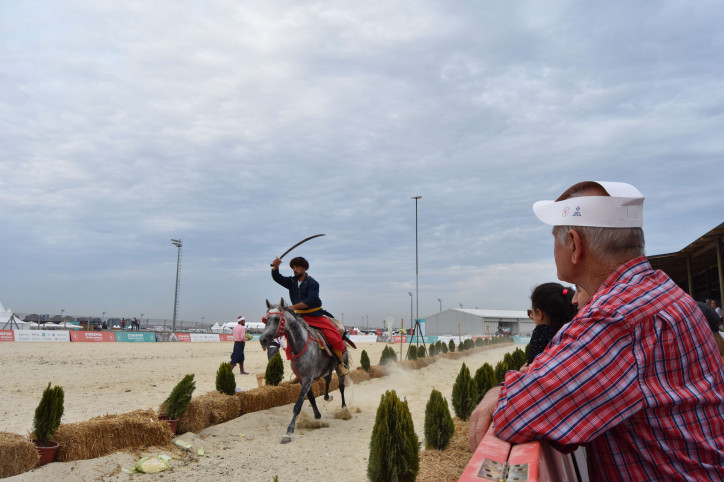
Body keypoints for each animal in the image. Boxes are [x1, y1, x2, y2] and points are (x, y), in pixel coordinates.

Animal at [260, 300, 348, 442]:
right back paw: (328, 397)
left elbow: (298, 405)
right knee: (328, 380)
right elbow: (311, 398)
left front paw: (288, 431)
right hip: (325, 370)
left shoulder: (308, 378)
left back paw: (344, 409)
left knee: (341, 386)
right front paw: (317, 417)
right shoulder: (302, 379)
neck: (300, 345)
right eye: (265, 319)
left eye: (277, 319)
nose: (263, 339)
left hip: (340, 368)